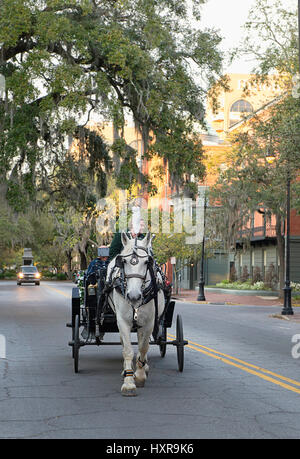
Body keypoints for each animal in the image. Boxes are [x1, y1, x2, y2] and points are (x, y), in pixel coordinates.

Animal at [106, 232, 164, 398]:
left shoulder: (150, 321)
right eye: (123, 261)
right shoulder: (122, 321)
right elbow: (127, 350)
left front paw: (140, 375)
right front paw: (129, 382)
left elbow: (143, 348)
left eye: (147, 262)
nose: (133, 296)